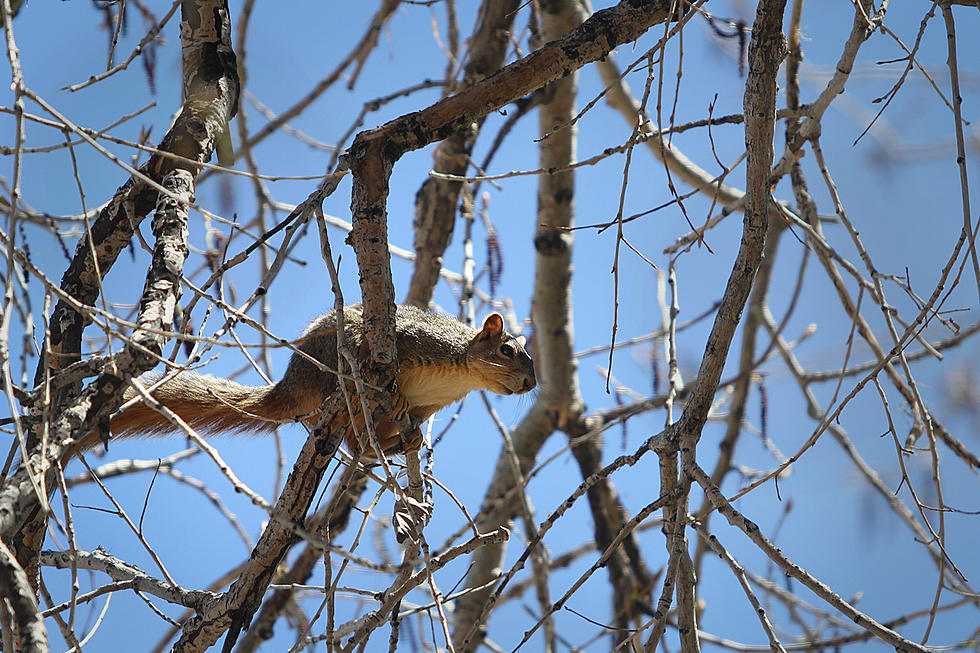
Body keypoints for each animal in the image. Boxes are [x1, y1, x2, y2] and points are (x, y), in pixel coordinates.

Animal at [99, 304, 536, 456]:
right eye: (507, 351)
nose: (532, 384)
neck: (462, 374)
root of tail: (291, 386)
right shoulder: (417, 339)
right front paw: (394, 393)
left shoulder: (431, 404)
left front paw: (413, 437)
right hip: (333, 362)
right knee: (353, 430)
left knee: (361, 447)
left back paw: (399, 444)